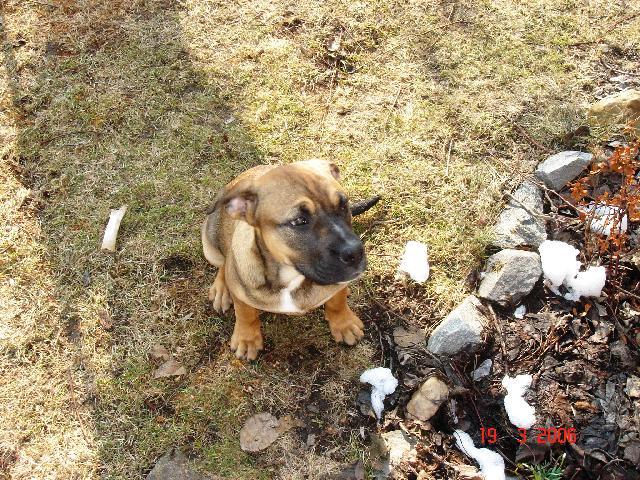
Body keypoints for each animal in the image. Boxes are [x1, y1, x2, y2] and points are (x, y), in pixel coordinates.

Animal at [200, 161, 370, 360]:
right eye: (299, 221)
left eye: (344, 205)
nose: (355, 252)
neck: (292, 276)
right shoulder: (241, 292)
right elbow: (245, 313)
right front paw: (247, 339)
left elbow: (337, 302)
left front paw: (344, 323)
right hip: (209, 246)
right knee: (223, 264)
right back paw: (221, 289)